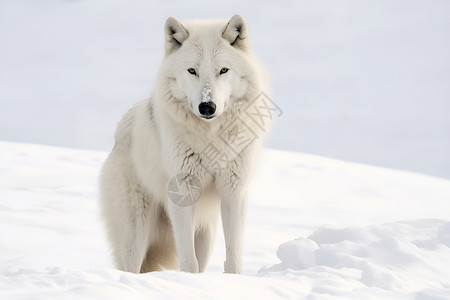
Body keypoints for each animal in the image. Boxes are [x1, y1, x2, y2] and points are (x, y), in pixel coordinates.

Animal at [101, 14, 270, 274]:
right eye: (192, 70)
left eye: (223, 70)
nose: (207, 107)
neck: (211, 136)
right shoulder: (182, 191)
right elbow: (188, 261)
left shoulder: (234, 190)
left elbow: (233, 255)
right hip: (135, 232)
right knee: (130, 267)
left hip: (206, 235)